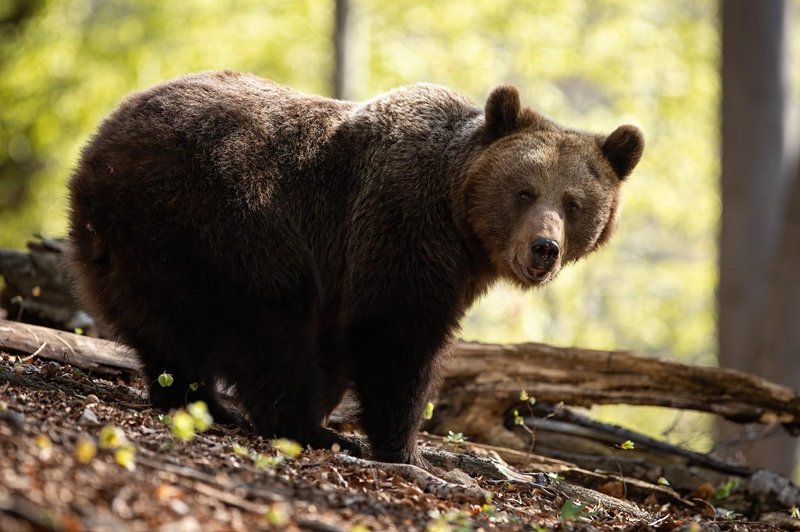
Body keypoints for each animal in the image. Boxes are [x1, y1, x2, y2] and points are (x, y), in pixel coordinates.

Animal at [67, 71, 644, 470]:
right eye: (524, 192)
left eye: (573, 203)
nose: (544, 247)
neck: (460, 221)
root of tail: (98, 144)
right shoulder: (399, 228)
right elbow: (396, 339)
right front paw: (405, 448)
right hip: (220, 219)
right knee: (266, 329)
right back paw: (302, 427)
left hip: (135, 245)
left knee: (163, 330)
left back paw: (198, 401)